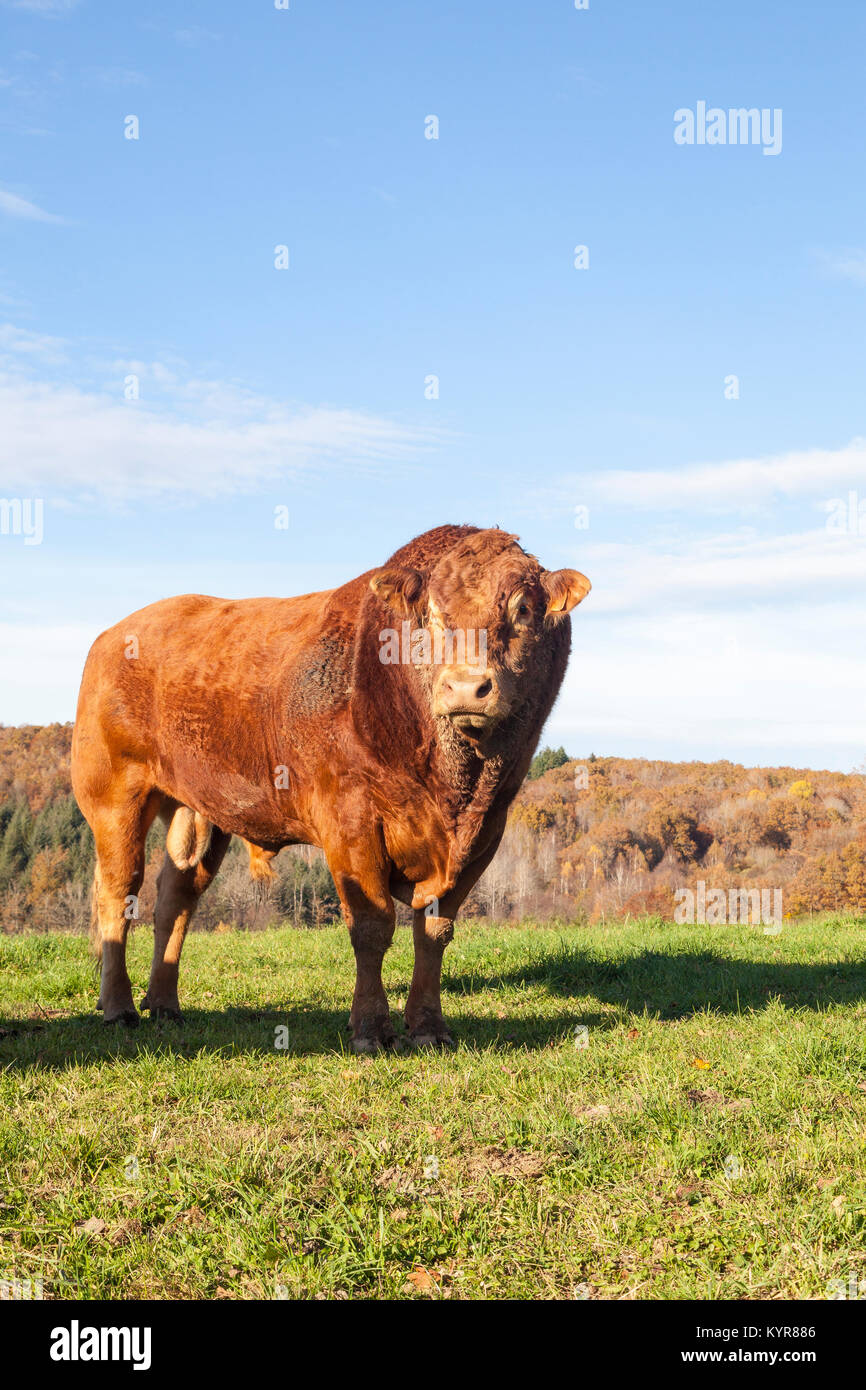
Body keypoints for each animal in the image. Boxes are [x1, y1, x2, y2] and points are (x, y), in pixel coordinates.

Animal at [72, 525, 589, 1045]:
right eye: (433, 615)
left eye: (522, 609)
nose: (466, 688)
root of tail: (113, 635)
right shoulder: (350, 820)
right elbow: (372, 925)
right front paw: (370, 1029)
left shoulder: (485, 832)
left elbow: (434, 931)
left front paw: (428, 1026)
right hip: (116, 802)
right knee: (118, 894)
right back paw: (118, 1007)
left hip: (199, 813)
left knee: (175, 899)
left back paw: (164, 1004)